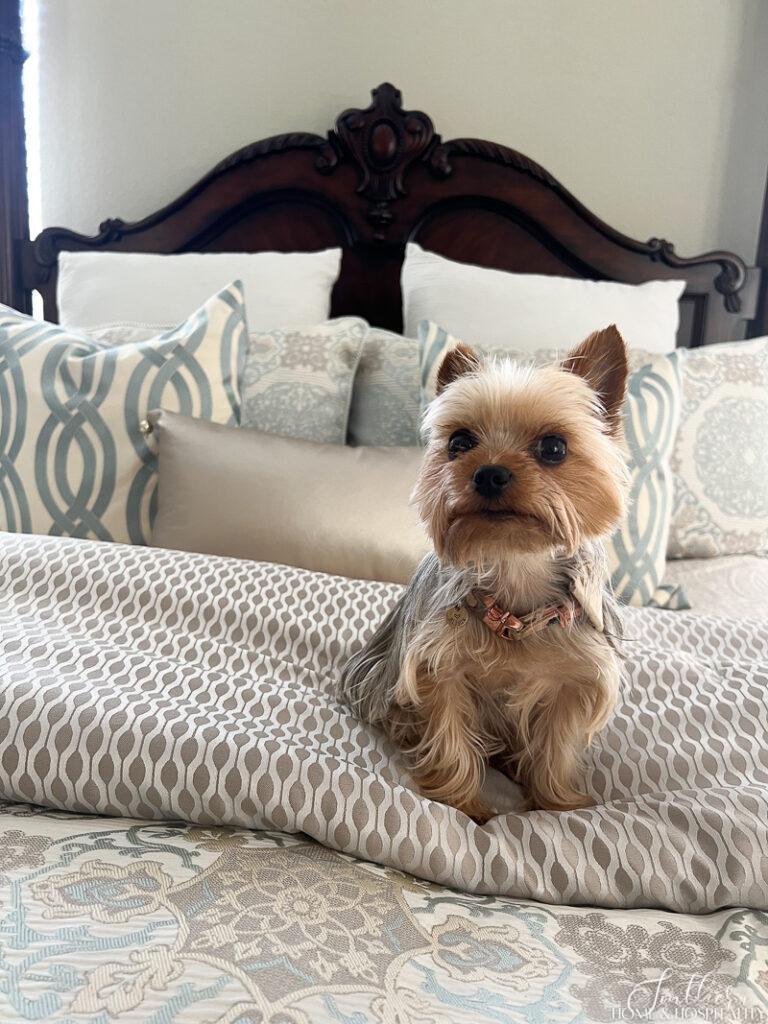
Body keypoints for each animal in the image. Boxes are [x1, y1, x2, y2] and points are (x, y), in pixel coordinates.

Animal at [339, 327, 626, 823]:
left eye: (554, 447)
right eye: (460, 442)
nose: (489, 473)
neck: (516, 577)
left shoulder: (575, 679)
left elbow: (557, 747)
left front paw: (555, 804)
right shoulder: (440, 666)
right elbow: (451, 735)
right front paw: (462, 805)